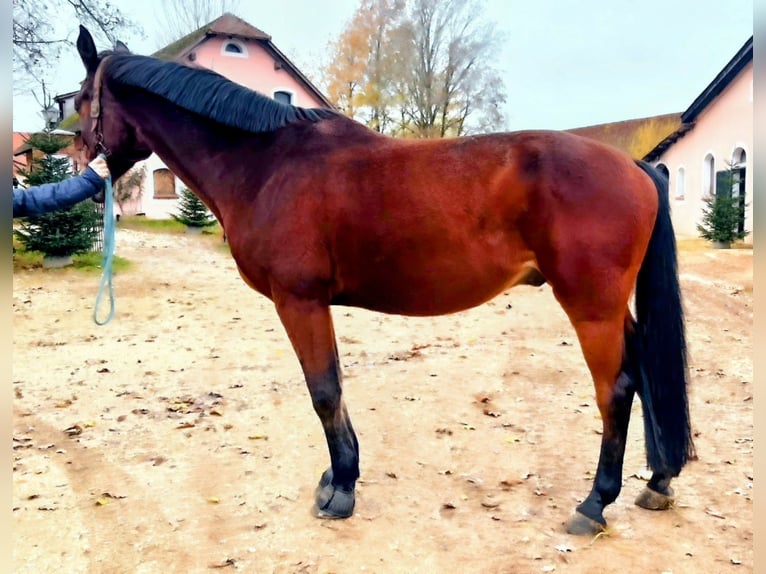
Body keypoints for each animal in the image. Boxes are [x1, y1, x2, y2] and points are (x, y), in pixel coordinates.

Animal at [73, 22, 696, 536]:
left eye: (80, 102)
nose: (81, 167)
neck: (266, 164)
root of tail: (636, 166)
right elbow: (334, 389)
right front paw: (336, 478)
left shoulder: (299, 301)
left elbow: (325, 392)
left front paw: (341, 490)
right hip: (612, 309)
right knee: (643, 372)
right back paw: (657, 481)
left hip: (592, 307)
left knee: (615, 389)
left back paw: (595, 503)